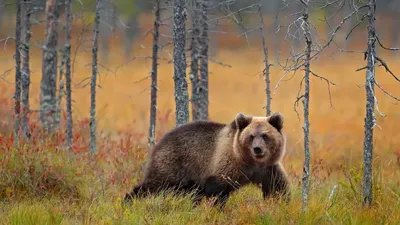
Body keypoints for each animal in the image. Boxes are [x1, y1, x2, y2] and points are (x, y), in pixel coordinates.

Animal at [123, 111, 290, 208]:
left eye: (265, 135)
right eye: (251, 136)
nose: (257, 149)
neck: (251, 162)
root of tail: (159, 142)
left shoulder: (267, 169)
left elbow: (277, 187)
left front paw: (281, 203)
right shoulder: (227, 164)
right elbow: (217, 190)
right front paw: (216, 208)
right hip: (174, 163)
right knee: (154, 185)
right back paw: (129, 200)